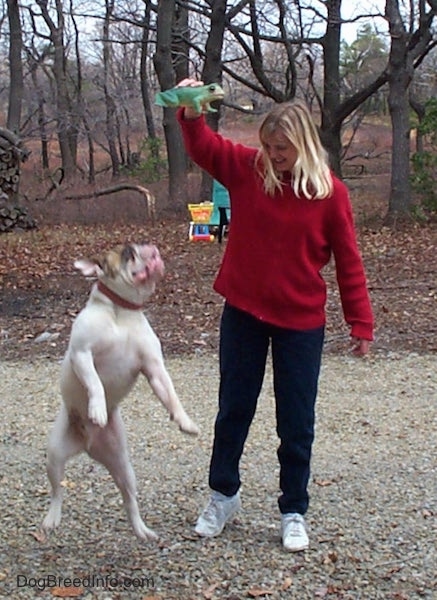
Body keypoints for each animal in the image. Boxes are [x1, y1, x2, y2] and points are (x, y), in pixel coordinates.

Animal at [41, 241, 198, 540]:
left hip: (123, 466)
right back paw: (52, 517)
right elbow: (95, 383)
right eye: (128, 253)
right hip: (54, 454)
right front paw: (97, 409)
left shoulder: (154, 368)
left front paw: (185, 422)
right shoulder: (82, 354)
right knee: (57, 490)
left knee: (129, 499)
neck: (122, 311)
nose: (151, 249)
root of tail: (88, 445)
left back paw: (142, 530)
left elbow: (171, 395)